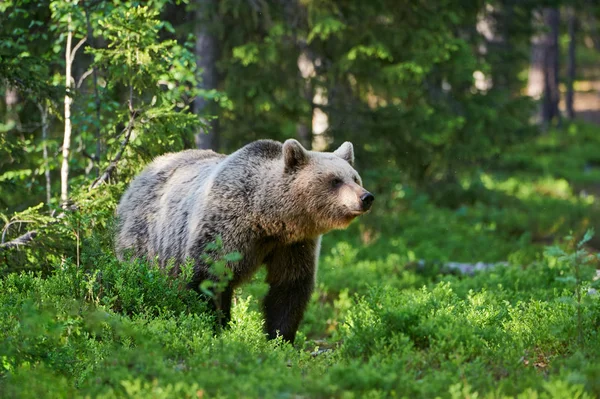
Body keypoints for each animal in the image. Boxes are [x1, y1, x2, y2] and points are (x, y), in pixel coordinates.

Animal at [114, 138, 372, 344]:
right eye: (335, 180)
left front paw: (280, 339)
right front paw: (212, 326)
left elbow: (289, 287)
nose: (366, 197)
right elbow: (207, 278)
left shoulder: (293, 245)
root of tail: (138, 176)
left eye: (355, 177)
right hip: (145, 238)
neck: (268, 219)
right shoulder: (223, 228)